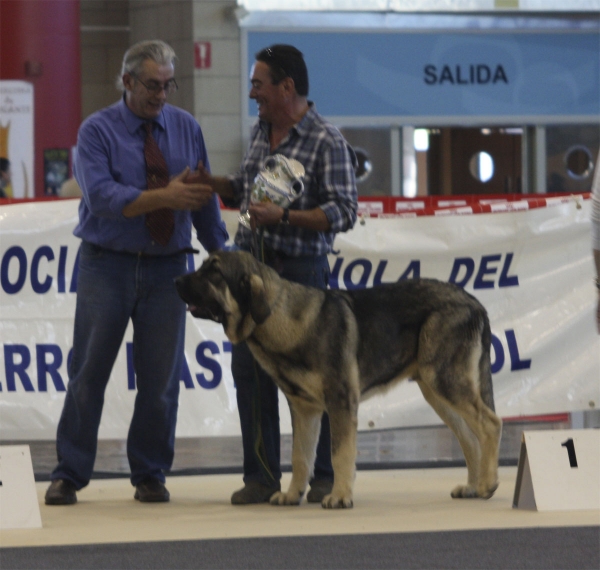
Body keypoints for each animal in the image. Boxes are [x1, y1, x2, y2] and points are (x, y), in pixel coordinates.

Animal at [176, 251, 504, 508]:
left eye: (215, 272)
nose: (176, 281)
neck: (280, 317)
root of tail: (474, 302)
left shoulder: (341, 402)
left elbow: (339, 454)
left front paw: (340, 496)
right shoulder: (304, 409)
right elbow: (300, 456)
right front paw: (293, 494)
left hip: (445, 382)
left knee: (489, 424)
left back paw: (488, 485)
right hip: (436, 391)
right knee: (469, 438)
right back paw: (473, 487)